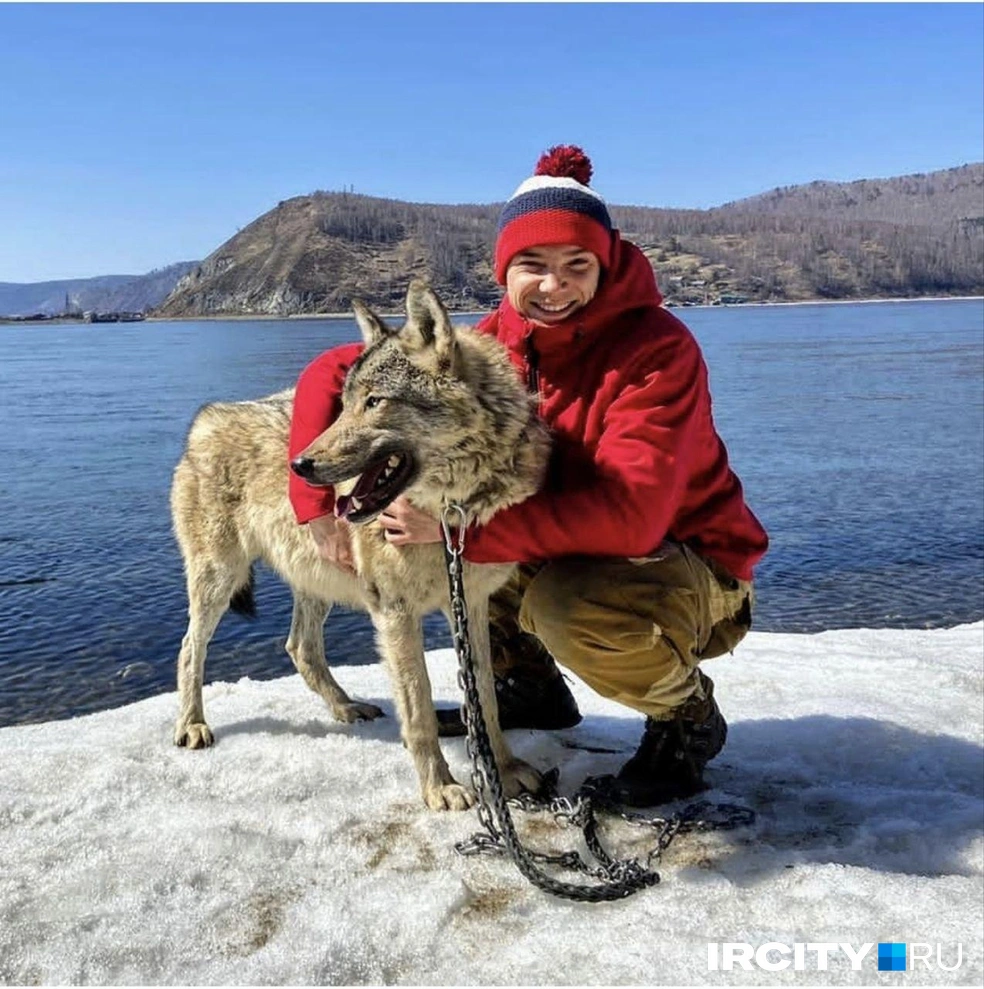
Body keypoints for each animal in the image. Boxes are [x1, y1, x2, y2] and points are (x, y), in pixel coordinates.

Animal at [172, 280, 548, 812]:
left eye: (375, 401)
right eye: (345, 402)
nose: (300, 465)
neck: (448, 515)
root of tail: (207, 418)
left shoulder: (470, 604)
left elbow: (486, 702)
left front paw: (507, 770)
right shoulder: (396, 612)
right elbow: (419, 708)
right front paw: (441, 787)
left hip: (317, 581)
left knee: (300, 647)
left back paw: (346, 707)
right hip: (221, 580)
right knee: (190, 648)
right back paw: (192, 725)